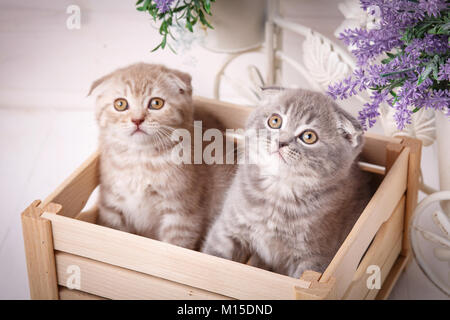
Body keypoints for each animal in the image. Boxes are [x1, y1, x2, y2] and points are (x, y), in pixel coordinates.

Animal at [89, 63, 234, 250]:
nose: (137, 120)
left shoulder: (182, 215)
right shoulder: (111, 207)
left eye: (156, 103)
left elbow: (174, 246)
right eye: (120, 104)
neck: (141, 160)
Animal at [202, 88, 370, 278]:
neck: (278, 191)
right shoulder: (228, 228)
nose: (281, 141)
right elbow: (214, 256)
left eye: (309, 136)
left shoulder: (315, 259)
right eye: (275, 121)